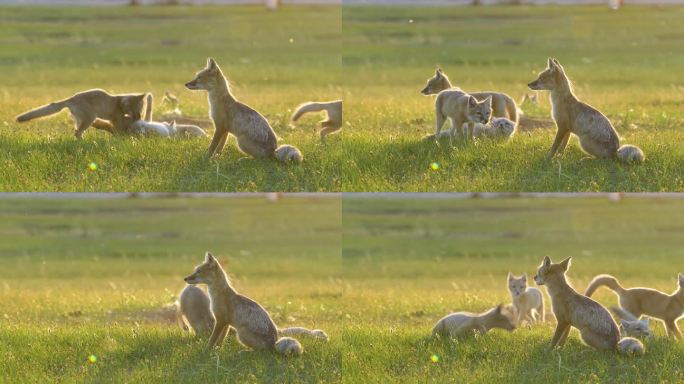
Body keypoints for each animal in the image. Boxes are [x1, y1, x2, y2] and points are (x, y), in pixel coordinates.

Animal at [16, 89, 147, 139]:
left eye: (141, 110)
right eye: (133, 110)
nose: (139, 117)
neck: (118, 103)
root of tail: (71, 98)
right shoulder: (116, 119)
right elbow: (119, 129)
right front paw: (122, 136)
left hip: (82, 119)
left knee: (77, 131)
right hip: (89, 118)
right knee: (77, 132)